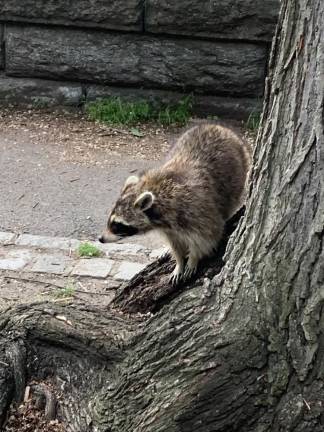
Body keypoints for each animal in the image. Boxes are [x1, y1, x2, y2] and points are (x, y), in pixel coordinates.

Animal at [100, 124, 252, 284]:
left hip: (238, 177)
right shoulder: (169, 228)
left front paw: (193, 258)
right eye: (110, 221)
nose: (101, 239)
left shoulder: (197, 210)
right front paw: (179, 262)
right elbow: (176, 244)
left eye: (117, 225)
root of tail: (218, 126)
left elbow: (208, 237)